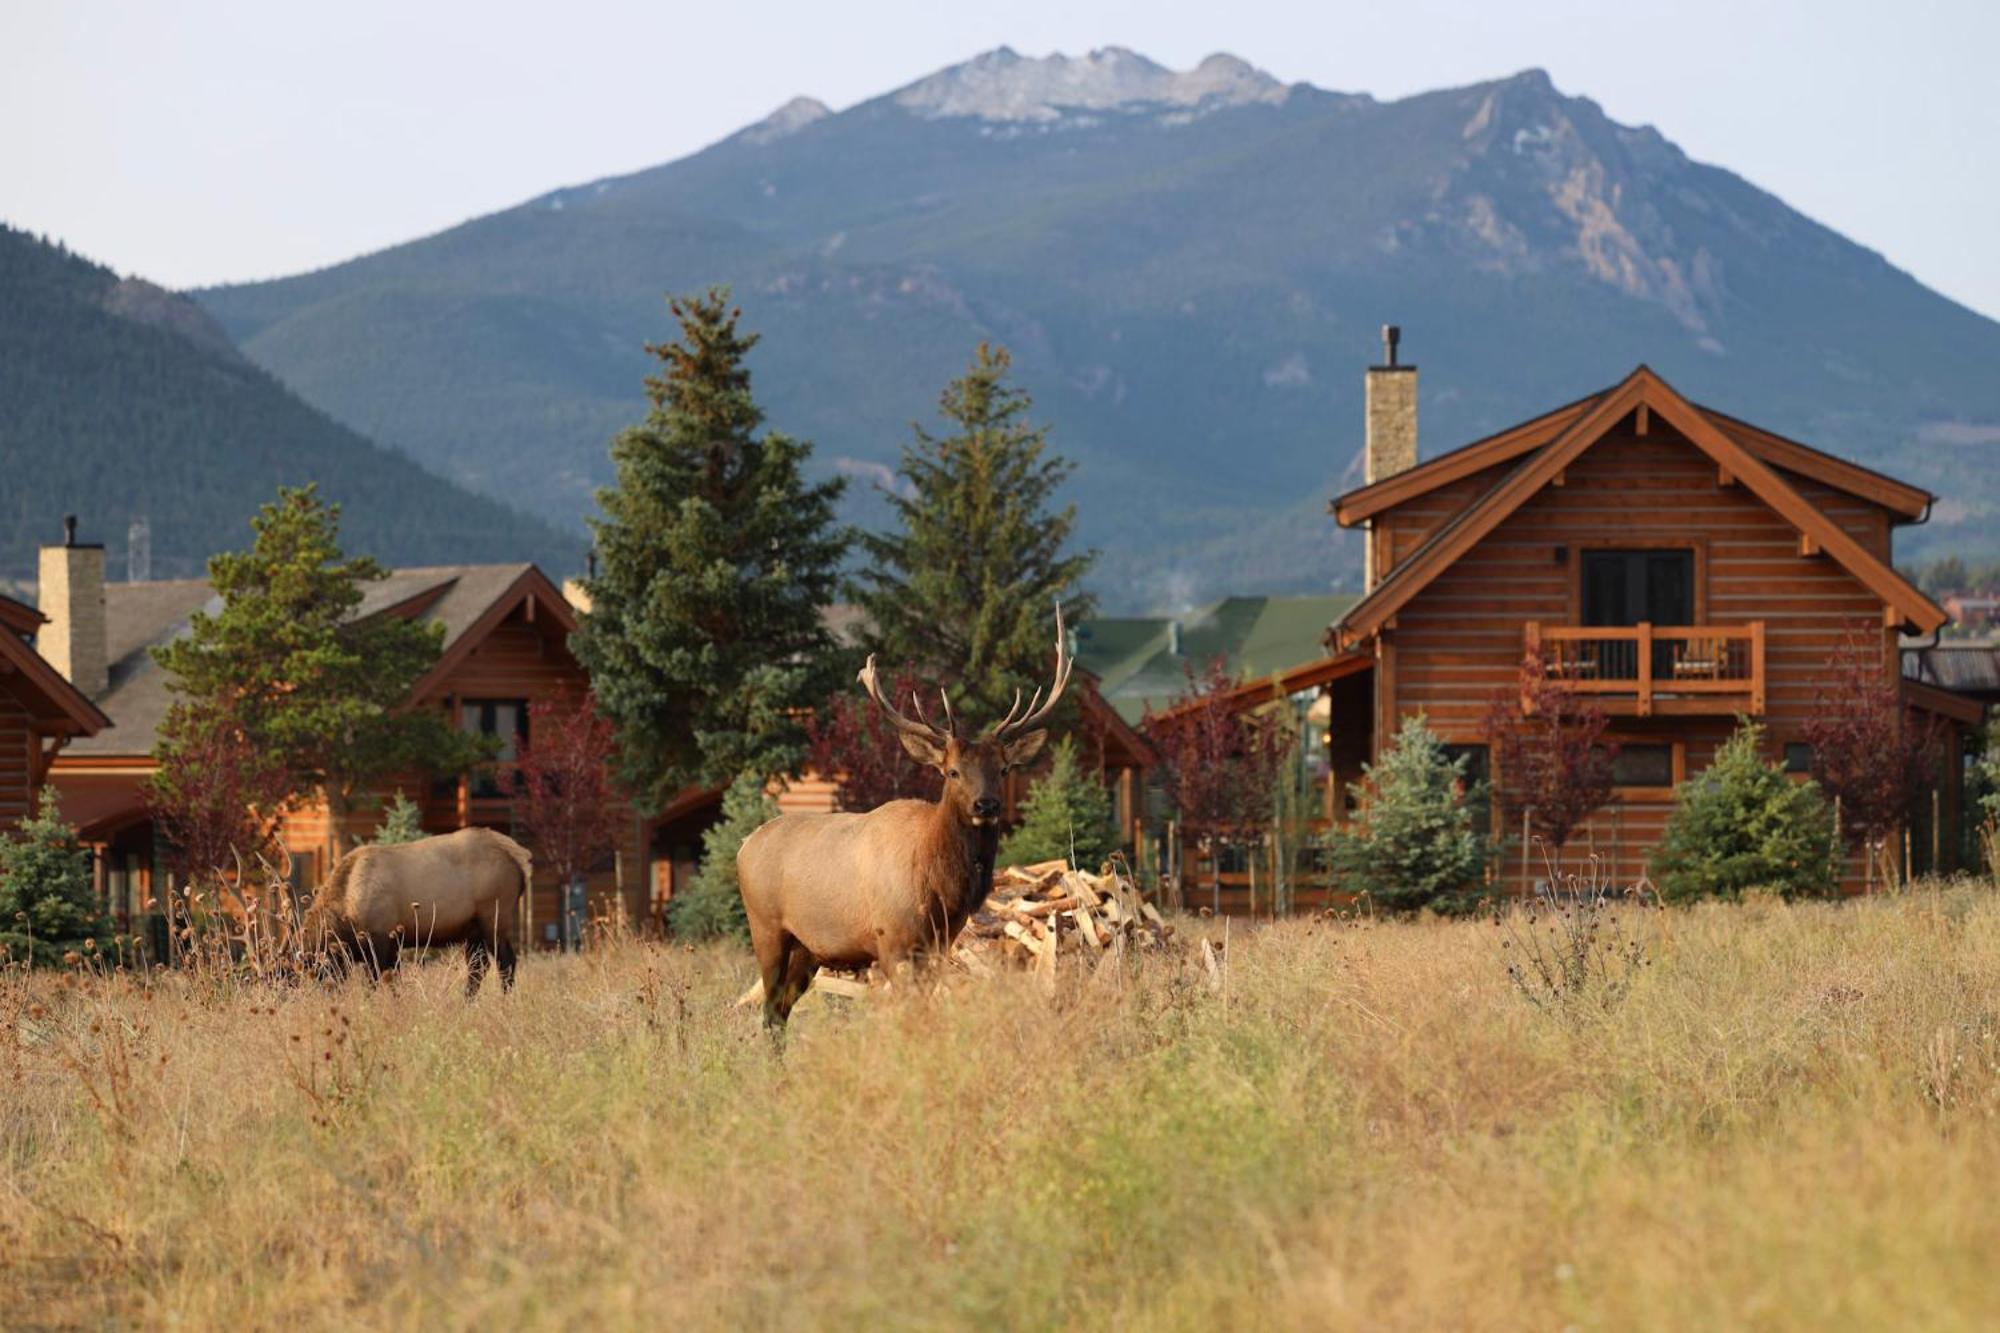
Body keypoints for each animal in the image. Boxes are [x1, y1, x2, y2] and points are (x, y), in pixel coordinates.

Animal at [740, 600, 1080, 1024]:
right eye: (952, 771)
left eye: (1003, 769)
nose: (986, 804)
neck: (939, 889)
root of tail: (743, 846)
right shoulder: (891, 939)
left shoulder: (938, 944)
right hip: (765, 926)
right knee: (769, 1005)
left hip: (809, 946)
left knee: (780, 1010)